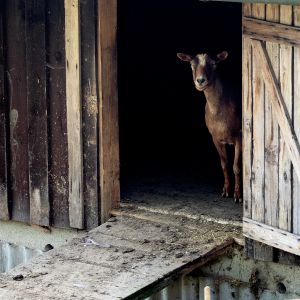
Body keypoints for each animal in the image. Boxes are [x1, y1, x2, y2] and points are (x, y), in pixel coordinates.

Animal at [177, 51, 243, 204]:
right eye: (191, 65)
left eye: (214, 64)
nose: (200, 81)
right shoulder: (215, 138)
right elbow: (224, 165)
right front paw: (226, 191)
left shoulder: (240, 136)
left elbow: (236, 167)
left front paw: (238, 195)